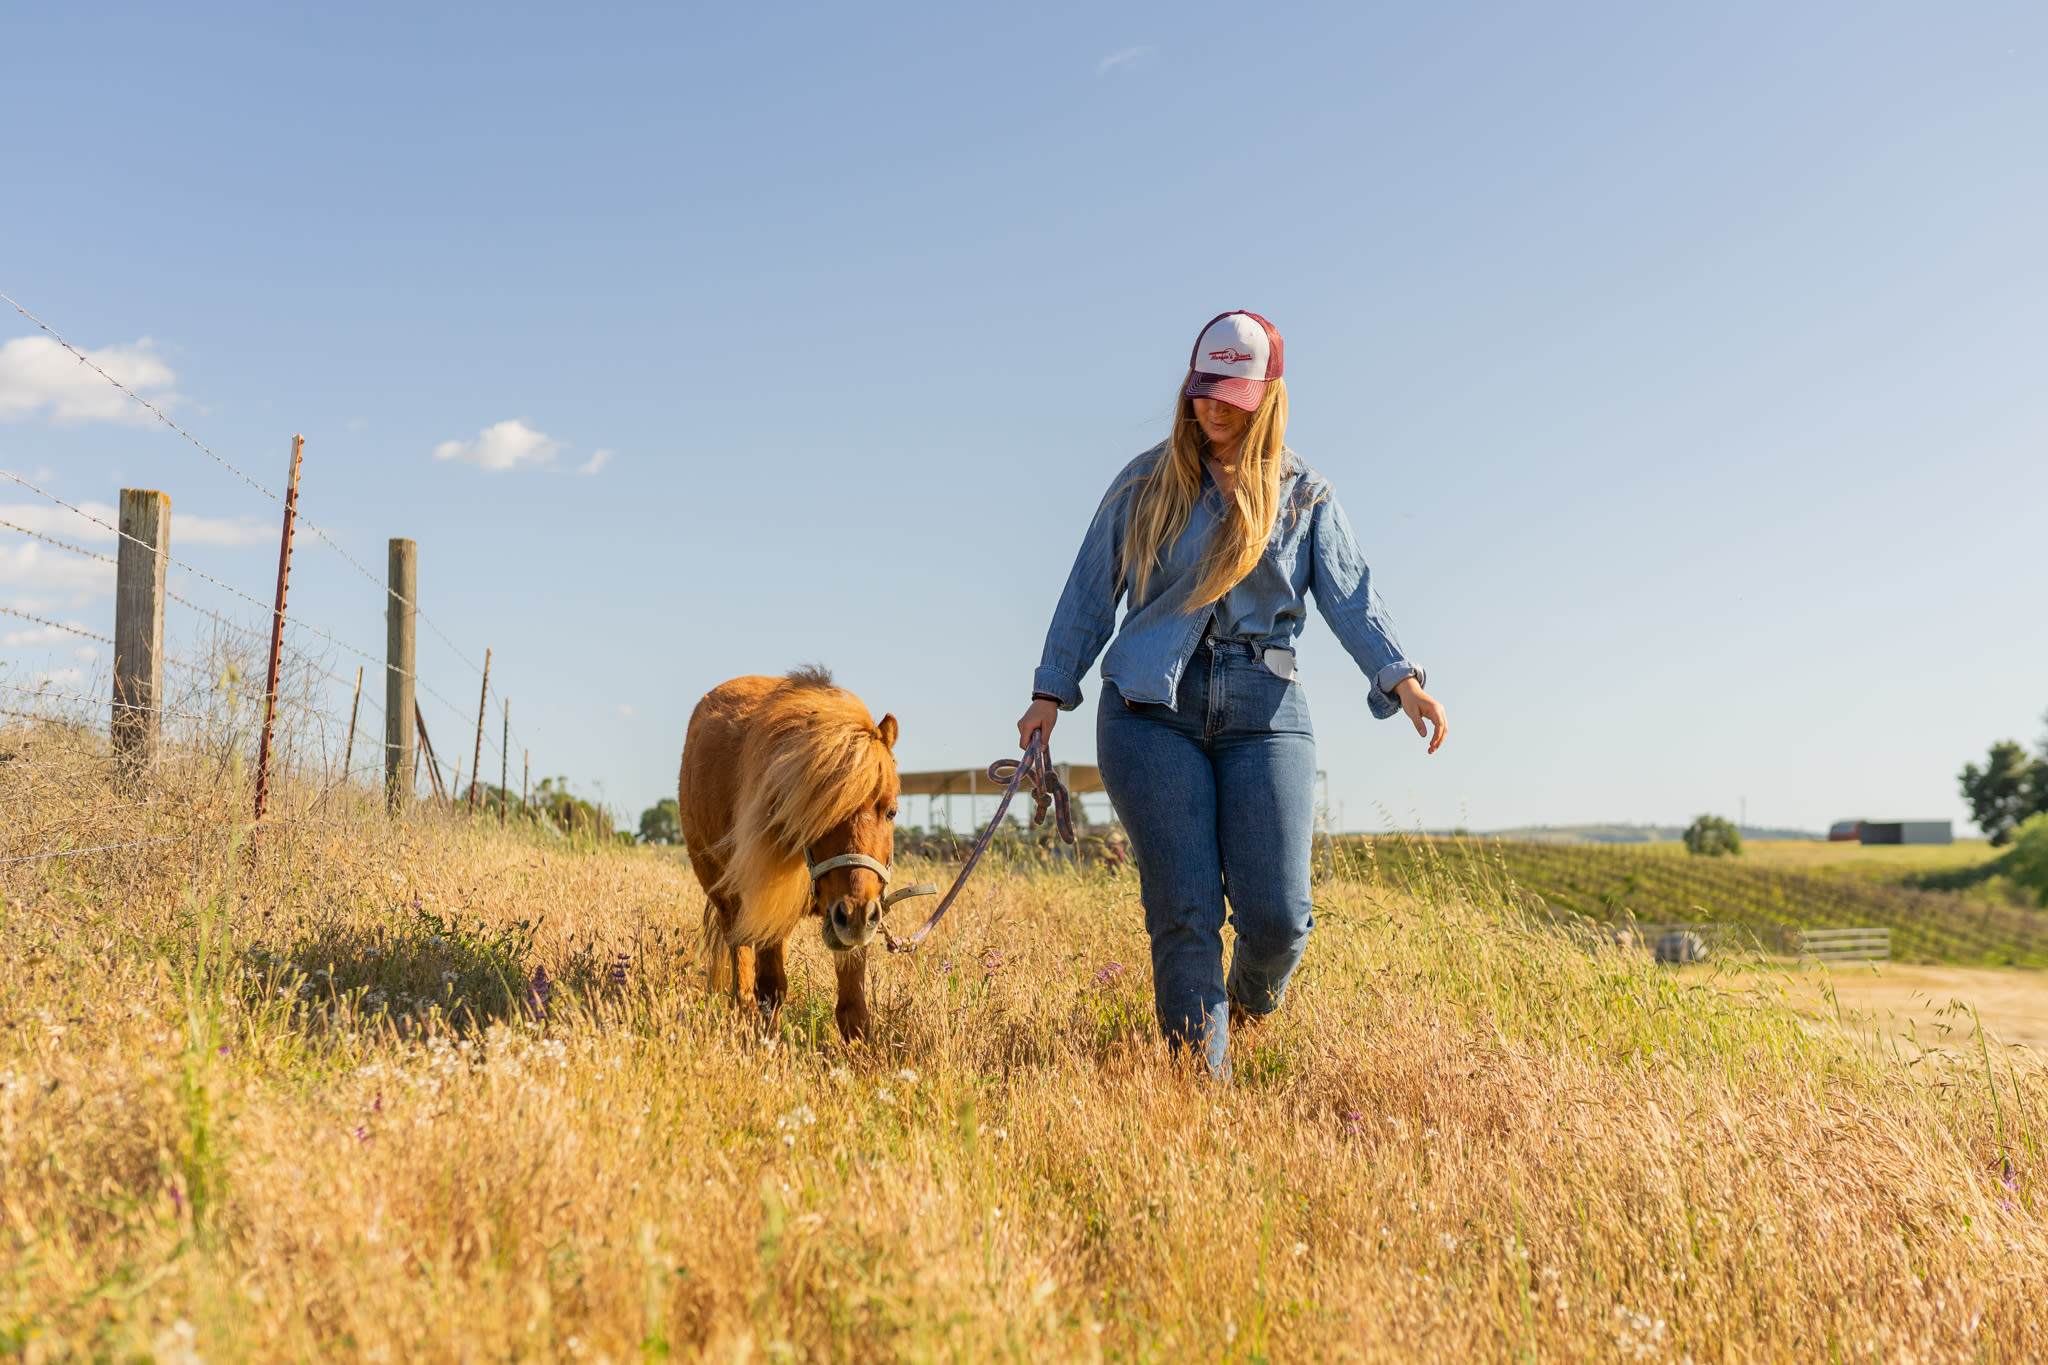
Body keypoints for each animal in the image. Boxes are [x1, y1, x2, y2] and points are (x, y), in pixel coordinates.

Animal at [677, 666, 905, 1042]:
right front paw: (768, 1043)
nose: (856, 914)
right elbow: (770, 987)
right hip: (727, 898)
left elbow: (853, 1007)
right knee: (742, 963)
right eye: (817, 814)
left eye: (891, 812)